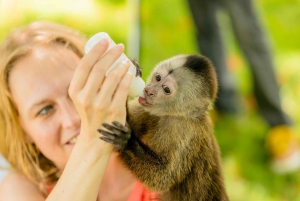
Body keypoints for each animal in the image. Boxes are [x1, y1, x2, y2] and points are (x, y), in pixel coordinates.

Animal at [99, 53, 230, 201]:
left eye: (166, 89)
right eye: (158, 77)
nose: (149, 91)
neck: (173, 114)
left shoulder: (182, 130)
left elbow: (161, 178)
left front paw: (125, 141)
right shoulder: (145, 109)